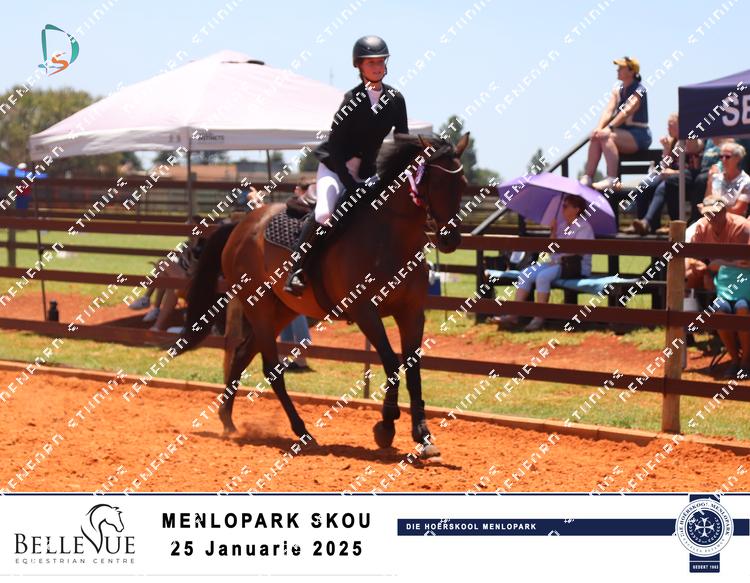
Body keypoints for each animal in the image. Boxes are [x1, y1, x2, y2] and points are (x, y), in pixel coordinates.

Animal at [181, 133, 469, 459]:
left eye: (462, 184)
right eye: (436, 182)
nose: (450, 240)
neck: (391, 237)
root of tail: (241, 226)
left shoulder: (411, 312)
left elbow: (413, 369)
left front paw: (423, 435)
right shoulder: (364, 311)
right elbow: (391, 363)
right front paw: (385, 427)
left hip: (282, 310)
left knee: (242, 355)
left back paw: (228, 421)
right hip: (259, 306)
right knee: (271, 369)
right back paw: (301, 432)